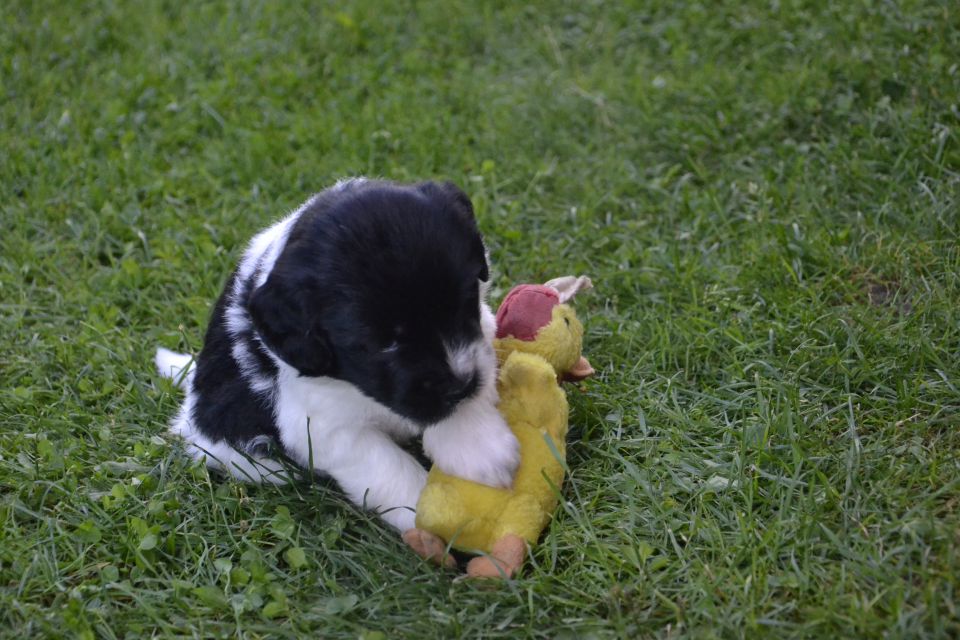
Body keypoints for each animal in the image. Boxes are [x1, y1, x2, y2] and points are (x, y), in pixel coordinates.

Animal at [155, 179, 520, 528]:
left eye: (465, 305)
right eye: (381, 343)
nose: (462, 384)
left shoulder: (481, 335)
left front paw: (479, 448)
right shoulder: (320, 425)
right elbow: (386, 466)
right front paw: (430, 513)